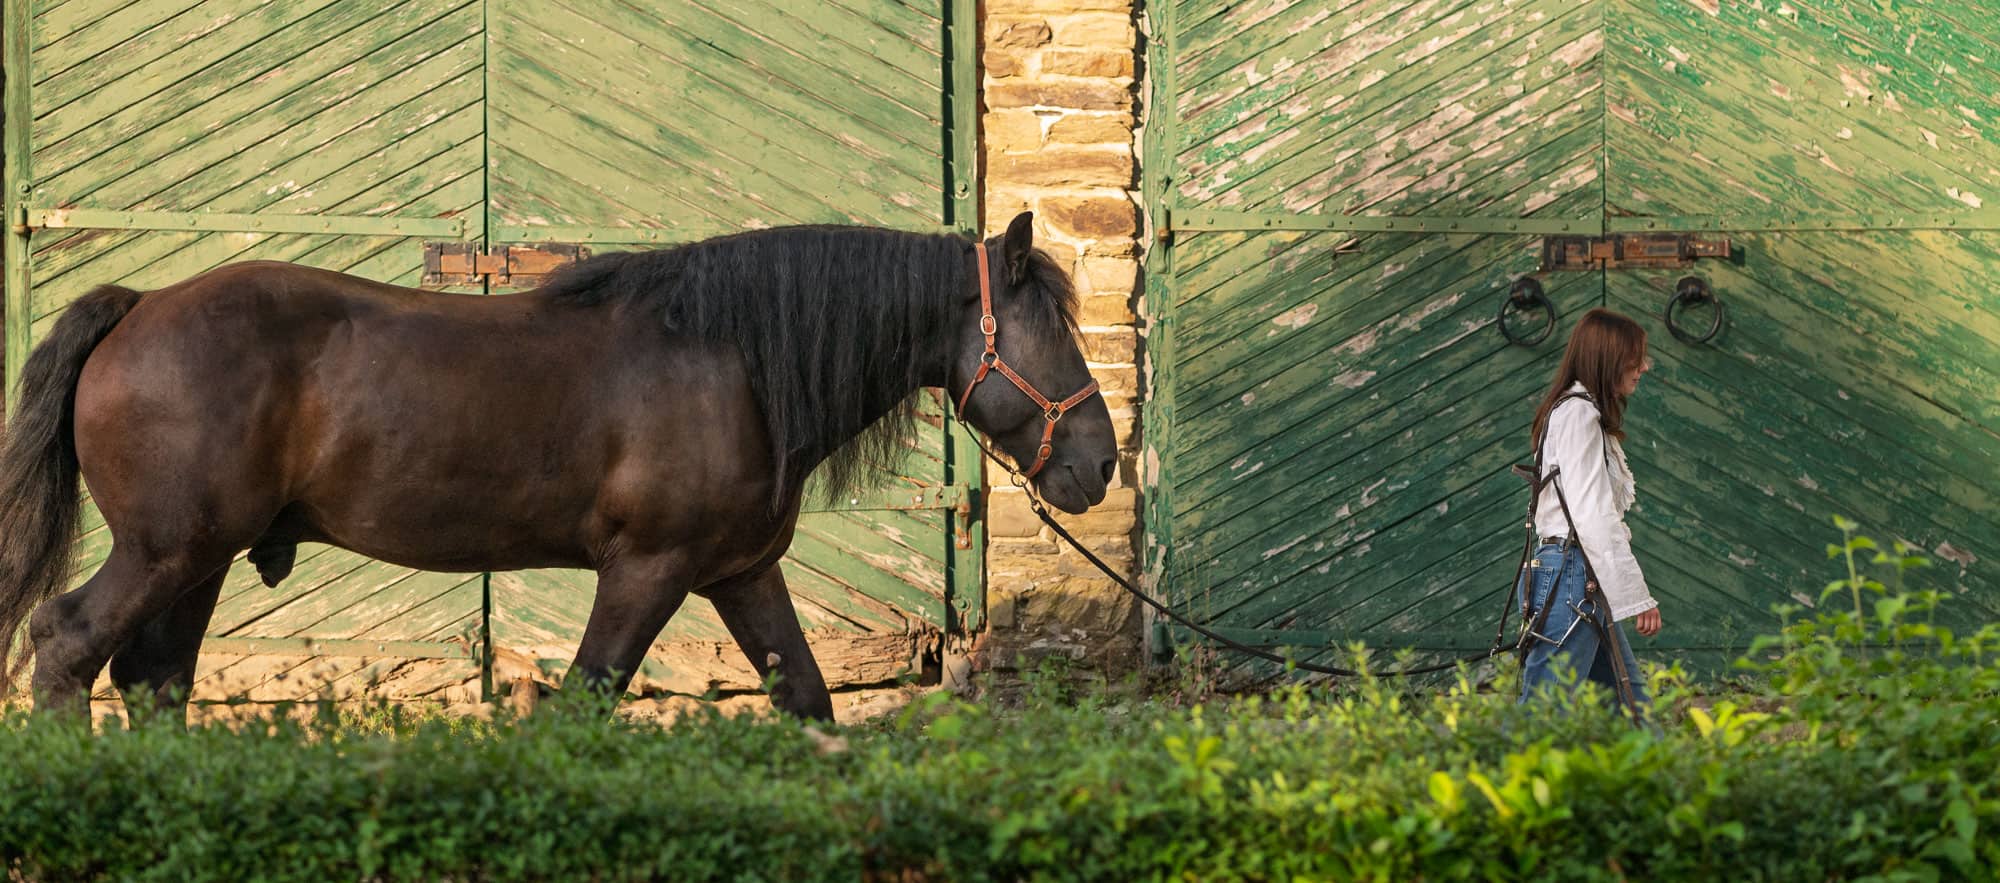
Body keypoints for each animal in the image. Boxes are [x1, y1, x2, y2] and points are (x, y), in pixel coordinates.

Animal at [0, 211, 1117, 723]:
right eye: (1049, 331)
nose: (1099, 463)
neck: (731, 361)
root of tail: (138, 309)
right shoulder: (648, 571)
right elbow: (586, 699)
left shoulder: (740, 575)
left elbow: (804, 697)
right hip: (164, 551)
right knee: (66, 643)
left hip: (199, 559)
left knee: (154, 680)